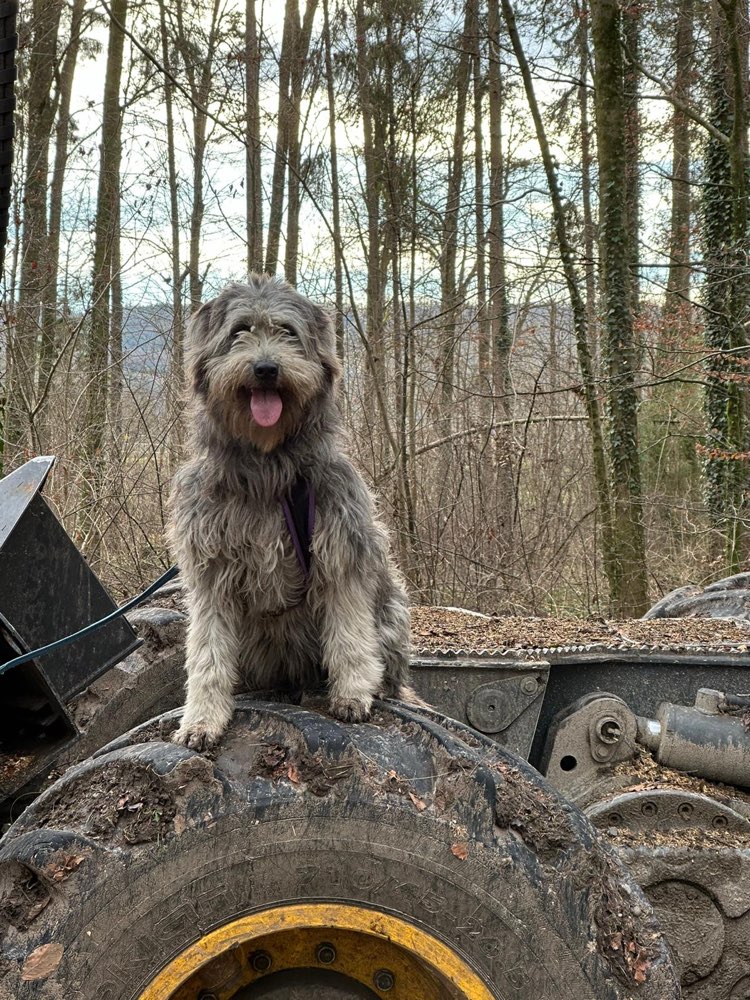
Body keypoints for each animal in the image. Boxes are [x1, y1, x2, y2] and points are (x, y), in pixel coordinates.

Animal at [171, 278, 418, 748]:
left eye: (287, 331)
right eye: (240, 330)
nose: (266, 368)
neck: (268, 469)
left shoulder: (341, 551)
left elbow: (349, 632)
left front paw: (353, 693)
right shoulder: (210, 572)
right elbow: (207, 654)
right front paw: (201, 718)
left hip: (391, 609)